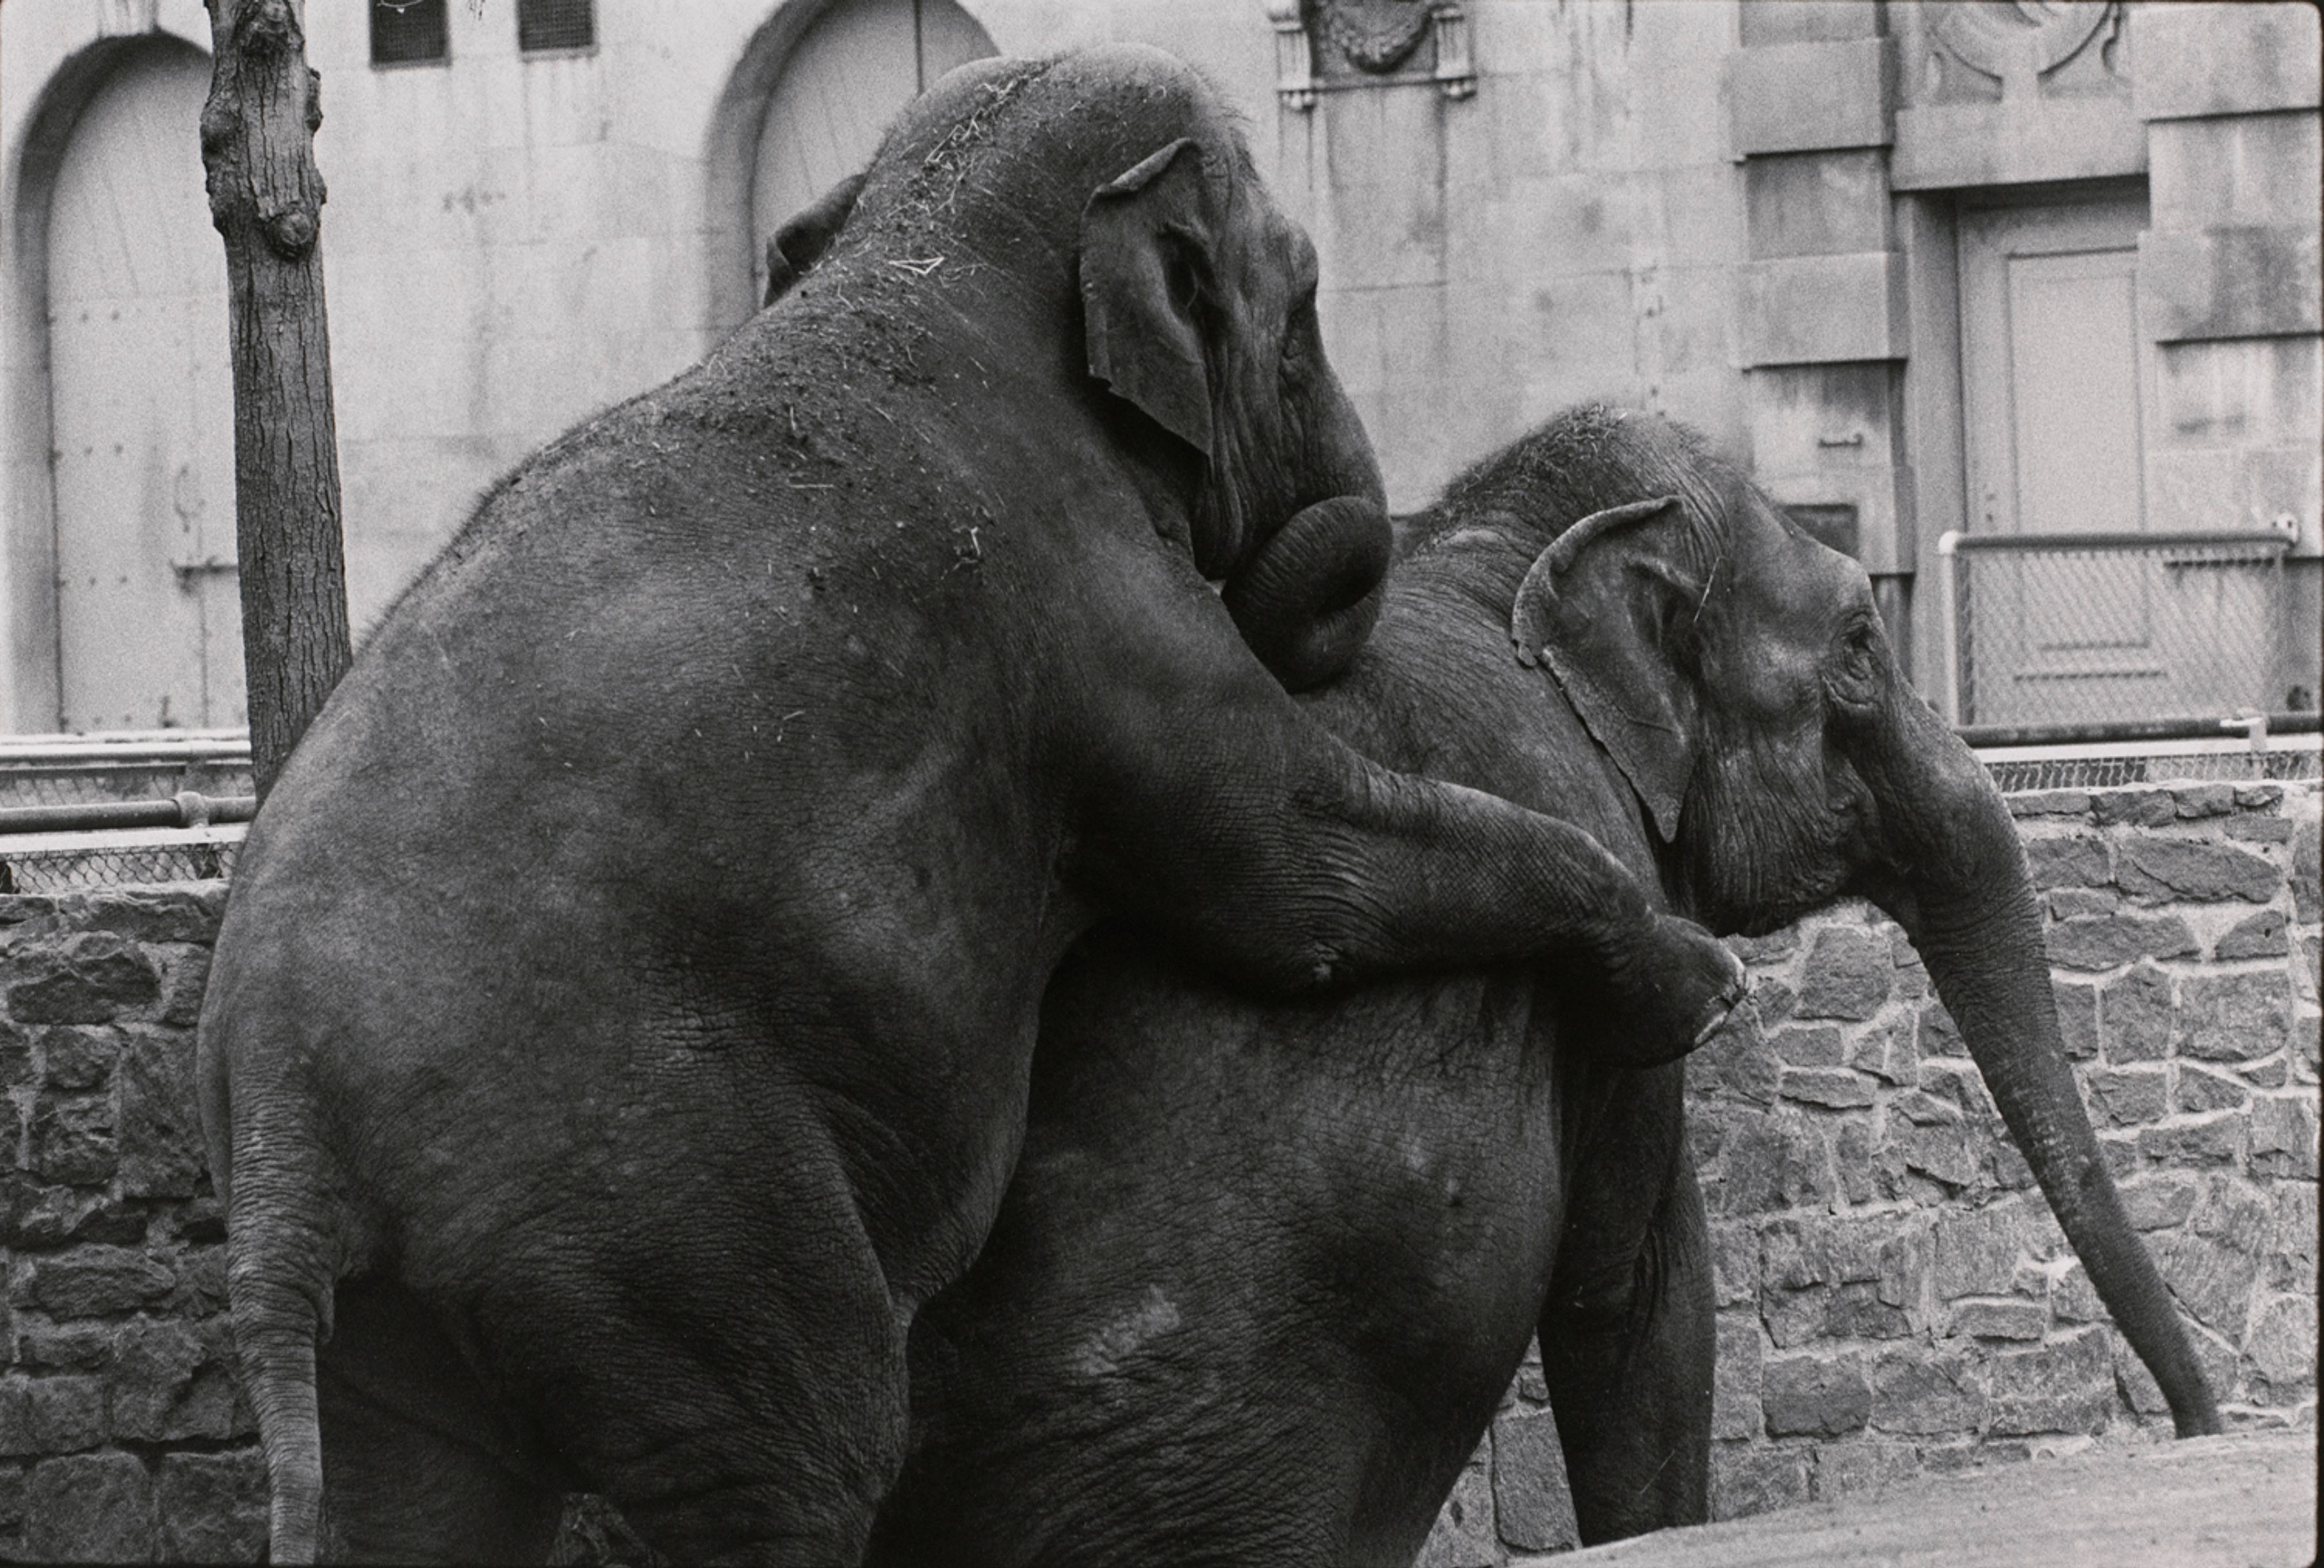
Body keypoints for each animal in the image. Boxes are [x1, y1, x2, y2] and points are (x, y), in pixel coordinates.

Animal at [196, 49, 1750, 1566]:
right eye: (1305, 299)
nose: (1342, 548)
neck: (920, 252)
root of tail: (282, 1152)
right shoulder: (1090, 599)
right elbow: (1291, 868)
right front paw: (1697, 980)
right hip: (656, 1195)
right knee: (796, 1462)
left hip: (427, 1301)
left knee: (423, 1501)